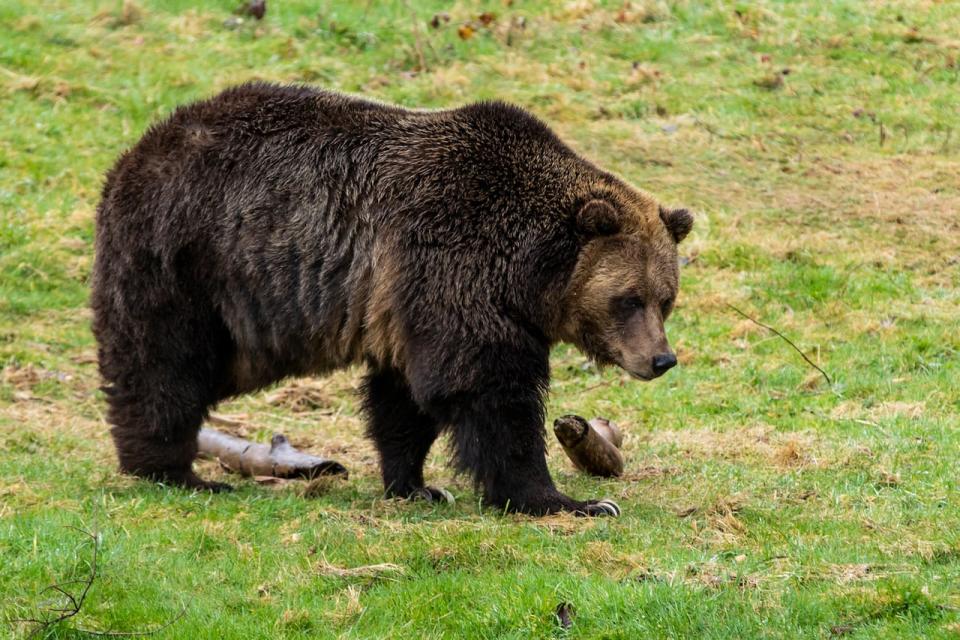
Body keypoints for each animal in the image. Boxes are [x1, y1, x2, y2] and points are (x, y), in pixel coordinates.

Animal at [90, 82, 688, 516]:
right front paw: (568, 500)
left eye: (666, 299)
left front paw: (416, 485)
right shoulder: (454, 266)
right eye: (628, 299)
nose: (661, 359)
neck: (527, 273)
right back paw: (175, 470)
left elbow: (404, 399)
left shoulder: (408, 303)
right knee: (165, 363)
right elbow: (489, 393)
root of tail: (136, 152)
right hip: (191, 260)